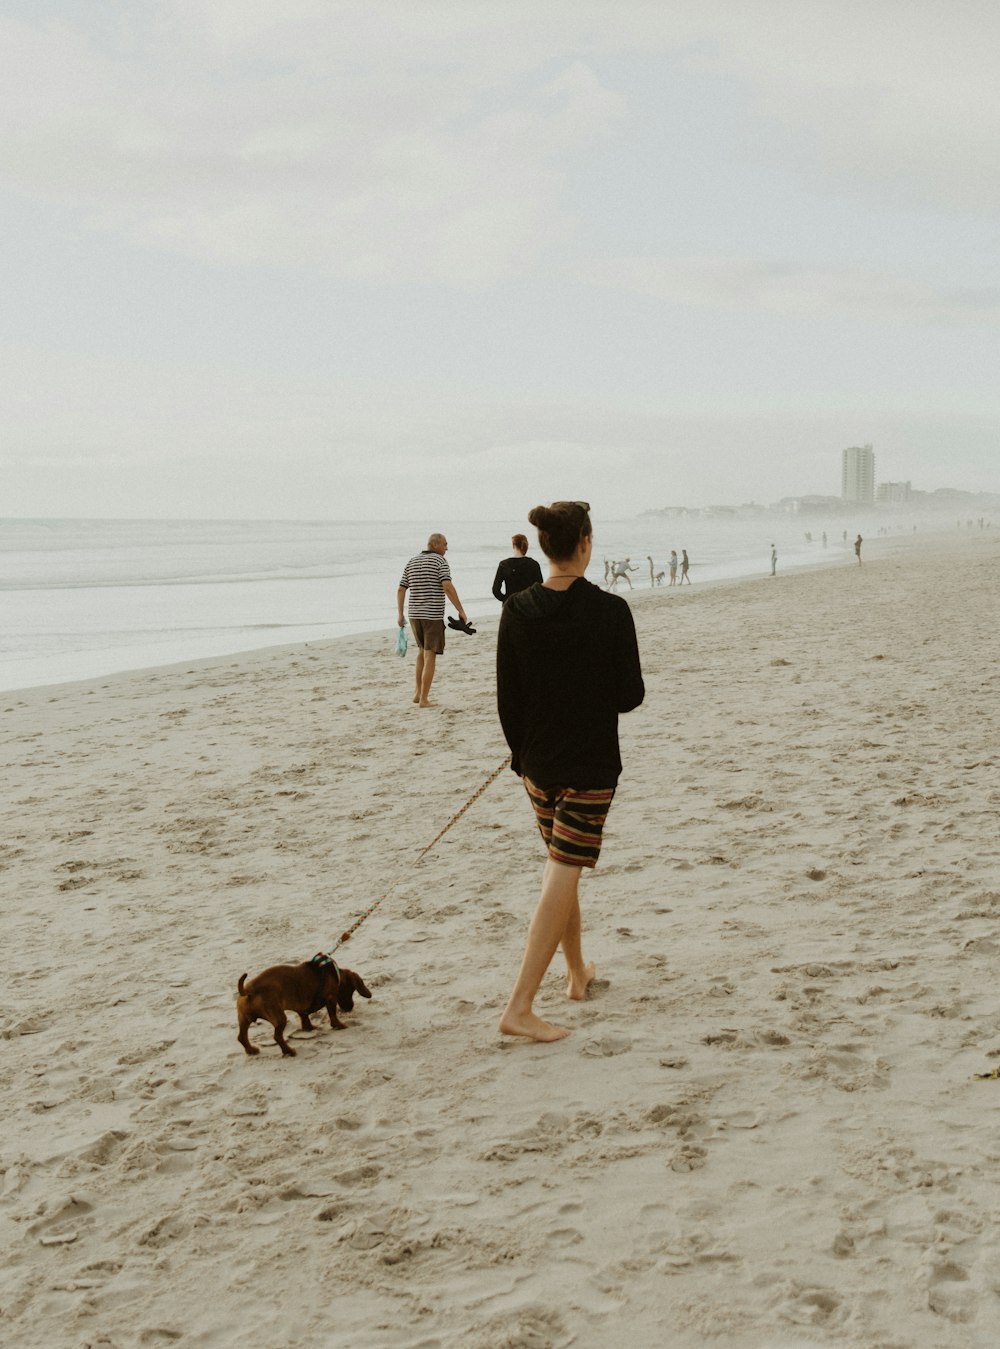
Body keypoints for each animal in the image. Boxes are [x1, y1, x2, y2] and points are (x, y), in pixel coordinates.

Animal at [237, 955, 369, 1057]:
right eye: (352, 990)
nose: (350, 1007)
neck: (334, 974)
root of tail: (249, 990)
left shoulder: (301, 1008)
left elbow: (304, 1018)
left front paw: (309, 1028)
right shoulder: (331, 999)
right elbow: (333, 1016)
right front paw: (340, 1025)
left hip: (244, 1020)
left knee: (241, 1037)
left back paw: (251, 1050)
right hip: (280, 1018)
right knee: (277, 1037)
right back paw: (289, 1051)